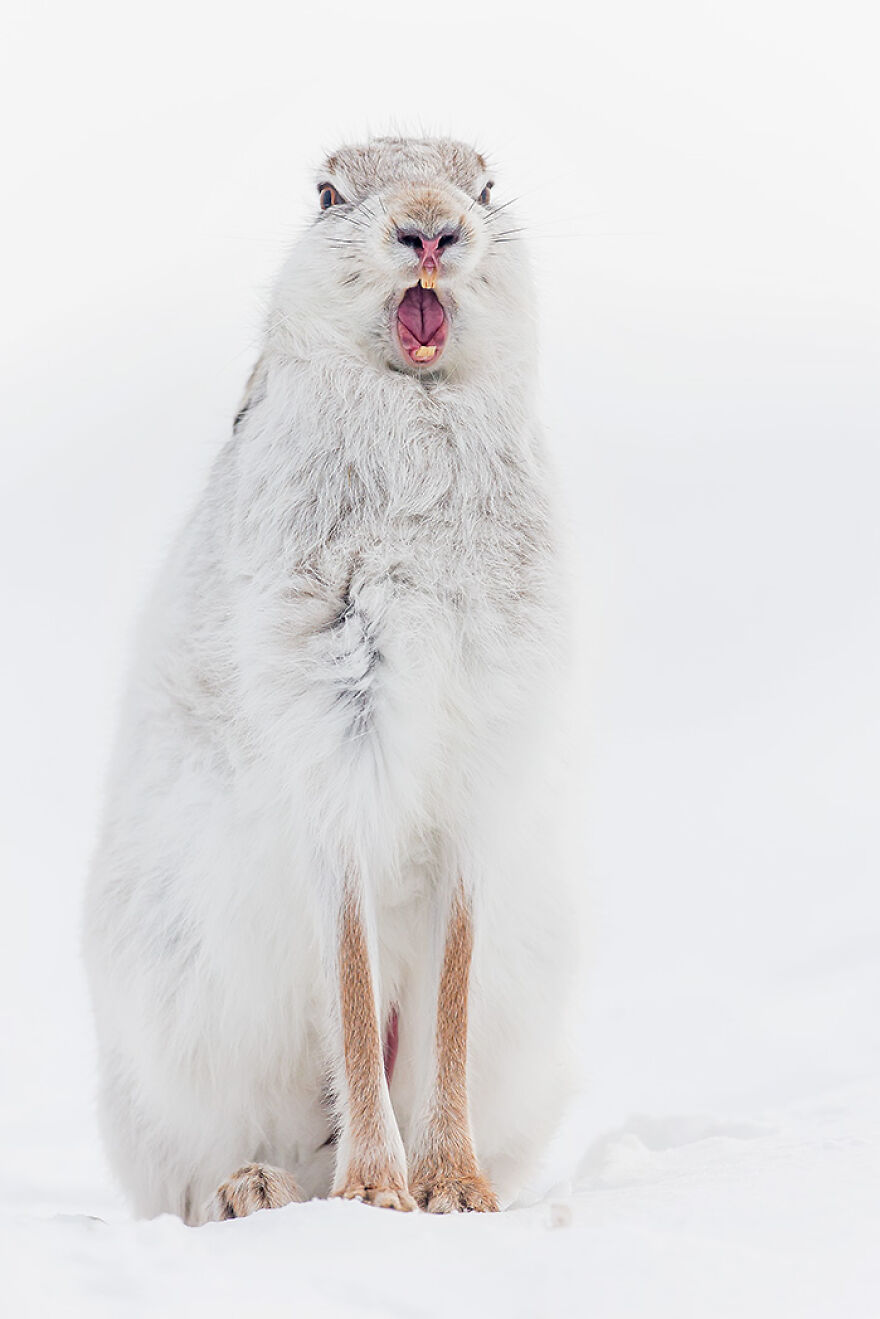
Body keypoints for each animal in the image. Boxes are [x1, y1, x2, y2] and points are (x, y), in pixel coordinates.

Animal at [83, 136, 577, 1223]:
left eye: (487, 187)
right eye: (326, 194)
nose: (430, 229)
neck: (416, 401)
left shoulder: (477, 779)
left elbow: (449, 998)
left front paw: (455, 1190)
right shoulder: (338, 748)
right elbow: (349, 975)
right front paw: (381, 1193)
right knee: (211, 1162)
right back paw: (260, 1189)